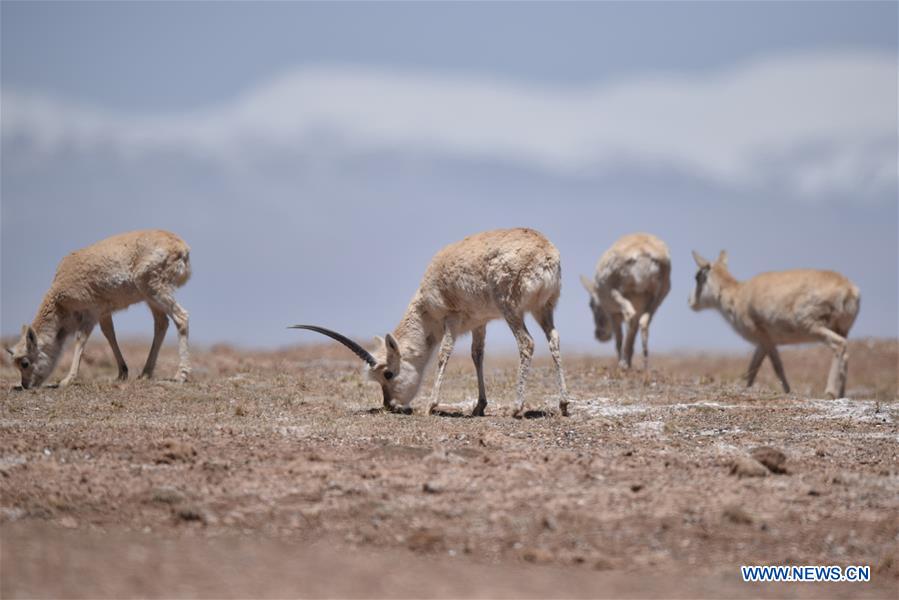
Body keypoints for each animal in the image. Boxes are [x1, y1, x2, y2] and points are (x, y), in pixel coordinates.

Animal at [6, 230, 192, 390]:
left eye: (24, 363)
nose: (25, 385)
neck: (59, 302)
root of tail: (182, 247)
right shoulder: (103, 313)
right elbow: (109, 334)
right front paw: (122, 373)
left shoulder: (91, 313)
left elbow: (81, 339)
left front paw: (67, 380)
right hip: (150, 296)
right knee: (161, 323)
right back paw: (145, 373)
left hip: (153, 289)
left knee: (181, 317)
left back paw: (180, 375)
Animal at [292, 227, 568, 420]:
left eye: (388, 373)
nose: (390, 405)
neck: (425, 305)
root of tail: (546, 253)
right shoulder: (480, 322)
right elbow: (476, 355)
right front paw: (479, 406)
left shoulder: (452, 318)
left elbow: (444, 354)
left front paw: (431, 405)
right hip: (544, 308)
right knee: (554, 339)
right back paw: (563, 404)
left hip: (510, 308)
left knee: (527, 343)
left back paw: (516, 407)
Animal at [580, 234, 672, 370]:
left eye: (591, 305)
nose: (599, 334)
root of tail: (642, 250)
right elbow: (632, 335)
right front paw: (629, 362)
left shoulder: (613, 314)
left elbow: (619, 339)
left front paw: (622, 363)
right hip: (658, 297)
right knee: (644, 322)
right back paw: (645, 364)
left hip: (616, 293)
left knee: (629, 315)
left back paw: (624, 363)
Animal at [692, 250, 860, 398]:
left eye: (697, 276)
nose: (690, 302)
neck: (737, 295)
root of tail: (849, 289)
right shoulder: (764, 342)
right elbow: (755, 365)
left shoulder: (765, 338)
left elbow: (776, 366)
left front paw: (787, 391)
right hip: (842, 329)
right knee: (846, 353)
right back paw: (841, 394)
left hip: (813, 327)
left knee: (839, 345)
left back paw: (830, 392)